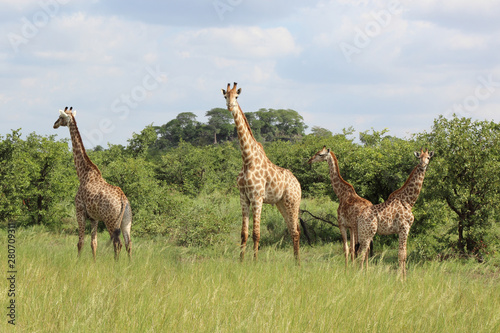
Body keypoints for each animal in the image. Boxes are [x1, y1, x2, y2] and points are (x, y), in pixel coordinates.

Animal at [52, 106, 132, 260]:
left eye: (61, 117)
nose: (54, 124)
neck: (83, 174)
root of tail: (123, 200)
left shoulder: (80, 211)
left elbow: (80, 242)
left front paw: (77, 262)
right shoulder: (94, 218)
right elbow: (93, 243)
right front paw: (94, 263)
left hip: (111, 221)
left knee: (117, 243)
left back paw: (117, 264)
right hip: (126, 221)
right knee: (128, 244)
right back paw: (130, 265)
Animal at [222, 83, 300, 262]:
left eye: (237, 96)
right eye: (225, 96)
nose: (230, 105)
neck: (247, 159)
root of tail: (298, 184)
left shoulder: (257, 197)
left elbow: (256, 233)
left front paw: (255, 262)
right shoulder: (243, 197)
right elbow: (243, 233)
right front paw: (241, 261)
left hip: (293, 202)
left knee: (296, 231)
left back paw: (298, 263)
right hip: (281, 203)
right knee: (292, 230)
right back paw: (295, 263)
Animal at [356, 148, 434, 278]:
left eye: (428, 157)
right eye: (419, 158)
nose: (423, 165)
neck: (408, 201)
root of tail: (359, 217)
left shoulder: (403, 230)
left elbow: (403, 254)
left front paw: (403, 276)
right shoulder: (404, 228)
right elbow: (402, 255)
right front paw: (402, 278)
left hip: (363, 234)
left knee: (359, 252)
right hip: (368, 233)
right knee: (361, 253)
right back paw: (360, 275)